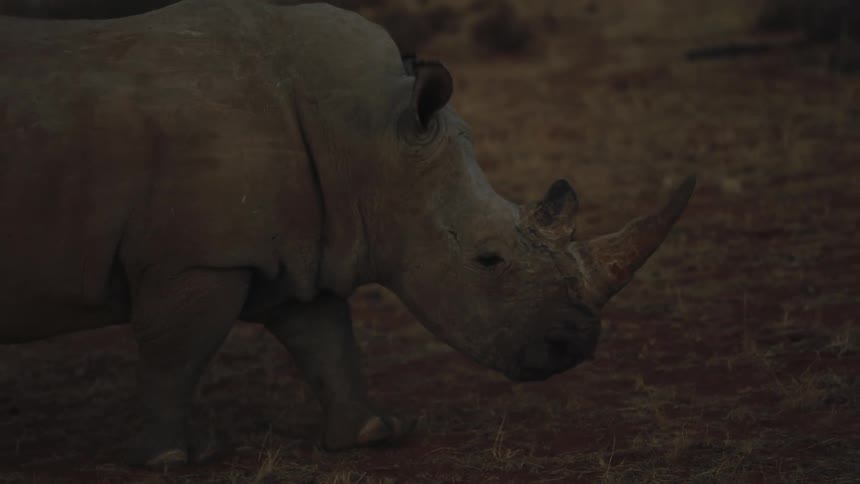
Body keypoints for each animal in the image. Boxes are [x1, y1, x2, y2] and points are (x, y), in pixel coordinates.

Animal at [0, 0, 695, 468]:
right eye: (488, 259)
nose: (576, 345)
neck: (368, 136)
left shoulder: (300, 242)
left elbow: (327, 339)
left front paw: (372, 435)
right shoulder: (199, 258)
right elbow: (176, 353)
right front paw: (173, 459)